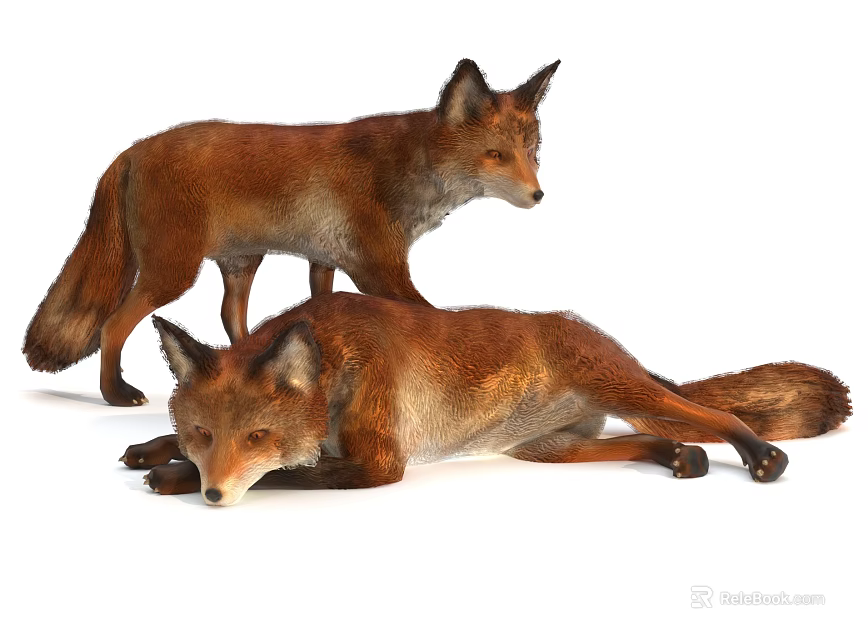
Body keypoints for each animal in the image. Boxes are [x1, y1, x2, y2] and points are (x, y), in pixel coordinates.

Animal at [23, 58, 560, 407]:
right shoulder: (378, 266)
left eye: (533, 152)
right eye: (496, 155)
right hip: (172, 272)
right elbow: (434, 319)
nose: (539, 196)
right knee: (112, 325)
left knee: (231, 320)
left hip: (241, 263)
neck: (409, 170)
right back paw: (115, 394)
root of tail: (131, 150)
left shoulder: (325, 260)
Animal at [118, 293, 851, 506]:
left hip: (619, 385)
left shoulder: (380, 463)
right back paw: (679, 459)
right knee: (647, 439)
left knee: (713, 414)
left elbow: (287, 477)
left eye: (258, 438)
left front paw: (171, 476)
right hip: (550, 452)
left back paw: (759, 456)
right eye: (204, 432)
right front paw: (155, 449)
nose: (215, 494)